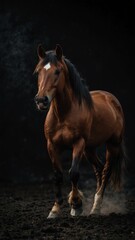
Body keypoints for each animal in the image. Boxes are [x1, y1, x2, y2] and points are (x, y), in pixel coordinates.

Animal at [33, 44, 126, 218]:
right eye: (38, 71)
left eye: (57, 71)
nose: (41, 100)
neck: (64, 114)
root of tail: (111, 99)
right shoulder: (52, 145)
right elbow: (57, 175)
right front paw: (55, 209)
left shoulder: (78, 143)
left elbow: (73, 173)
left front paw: (76, 205)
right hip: (89, 149)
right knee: (99, 169)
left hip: (112, 145)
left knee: (106, 171)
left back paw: (96, 208)